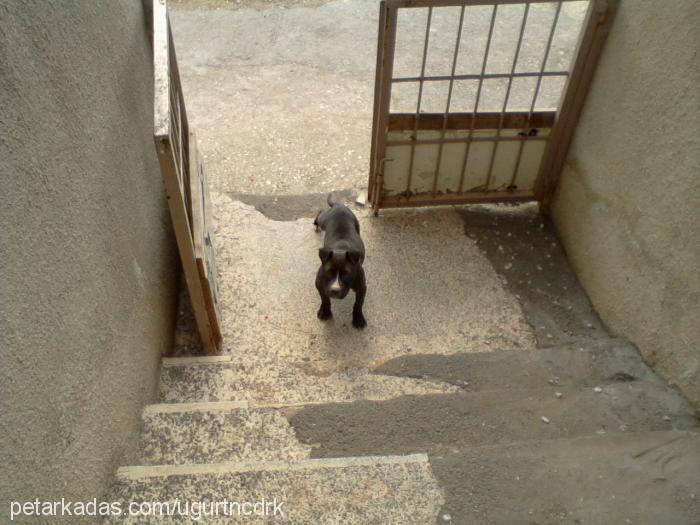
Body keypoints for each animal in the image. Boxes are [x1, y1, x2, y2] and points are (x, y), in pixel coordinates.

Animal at [314, 194, 366, 328]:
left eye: (346, 273)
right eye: (329, 272)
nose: (334, 290)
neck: (340, 250)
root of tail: (338, 205)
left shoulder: (362, 287)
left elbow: (358, 304)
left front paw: (358, 318)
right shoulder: (319, 283)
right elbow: (324, 298)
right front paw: (325, 311)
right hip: (324, 220)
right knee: (320, 213)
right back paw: (316, 225)